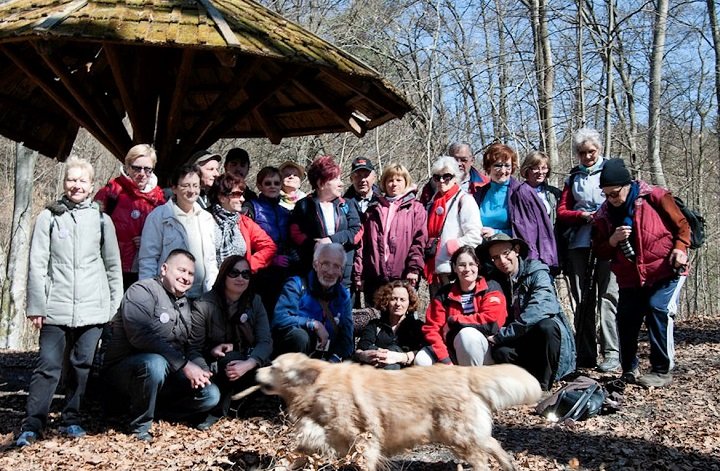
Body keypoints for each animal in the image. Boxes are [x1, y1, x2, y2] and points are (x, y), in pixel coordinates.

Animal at [255, 352, 540, 470]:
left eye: (273, 366)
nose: (256, 370)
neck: (316, 388)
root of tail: (464, 372)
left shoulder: (364, 441)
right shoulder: (313, 441)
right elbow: (286, 460)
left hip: (458, 435)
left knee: (482, 458)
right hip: (464, 433)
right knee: (494, 444)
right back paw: (510, 466)